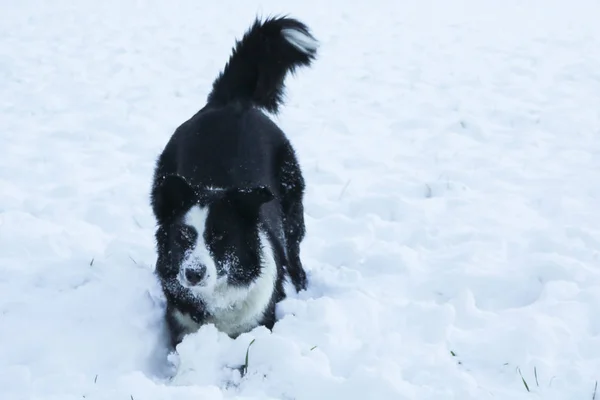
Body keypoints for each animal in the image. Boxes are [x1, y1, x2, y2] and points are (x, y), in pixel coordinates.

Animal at [150, 16, 318, 346]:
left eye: (220, 237)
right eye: (183, 237)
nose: (193, 273)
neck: (216, 299)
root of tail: (230, 102)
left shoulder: (259, 322)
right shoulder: (180, 327)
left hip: (292, 204)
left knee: (294, 252)